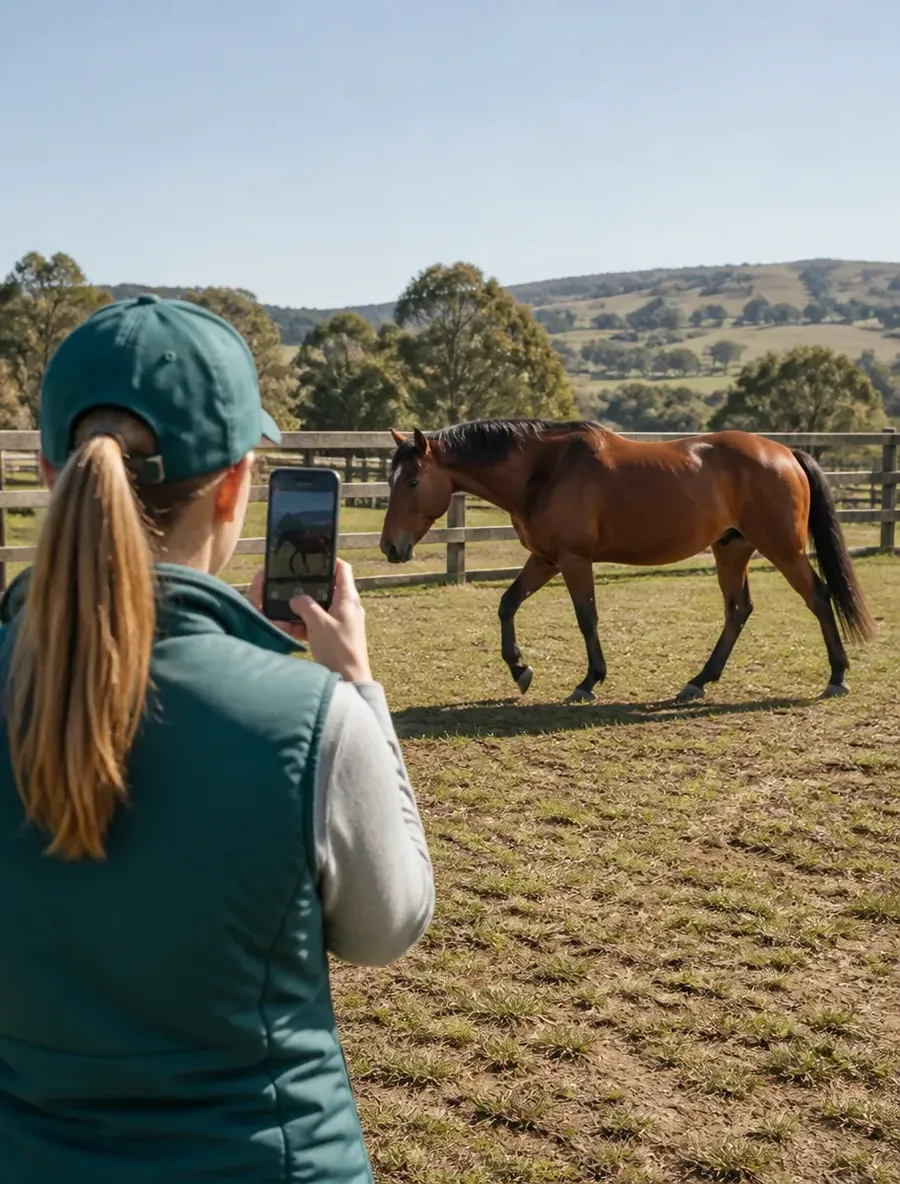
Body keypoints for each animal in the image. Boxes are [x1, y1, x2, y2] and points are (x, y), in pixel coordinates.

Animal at [379, 419, 875, 704]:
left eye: (413, 480)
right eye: (390, 479)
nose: (389, 547)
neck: (544, 469)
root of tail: (786, 452)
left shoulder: (573, 560)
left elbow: (586, 618)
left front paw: (588, 682)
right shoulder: (544, 558)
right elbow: (507, 604)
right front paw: (521, 671)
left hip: (783, 549)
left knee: (819, 597)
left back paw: (837, 676)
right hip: (731, 549)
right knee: (738, 610)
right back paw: (699, 681)